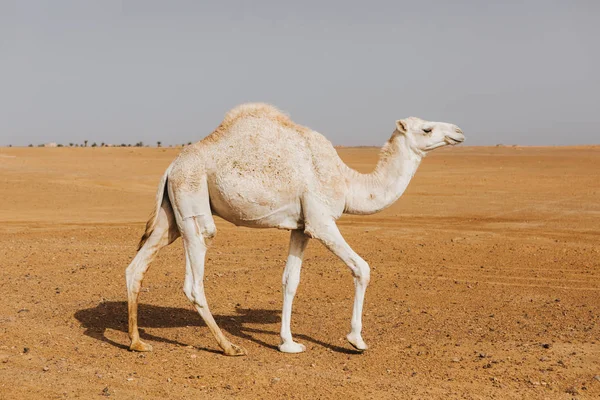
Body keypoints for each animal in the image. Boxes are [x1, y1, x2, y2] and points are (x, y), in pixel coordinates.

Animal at [125, 103, 464, 356]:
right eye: (427, 129)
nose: (459, 131)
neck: (346, 181)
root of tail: (171, 166)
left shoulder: (301, 228)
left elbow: (290, 280)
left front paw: (288, 343)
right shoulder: (321, 222)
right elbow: (362, 268)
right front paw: (356, 339)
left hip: (172, 213)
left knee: (136, 267)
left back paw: (137, 342)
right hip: (192, 198)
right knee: (194, 280)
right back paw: (229, 346)